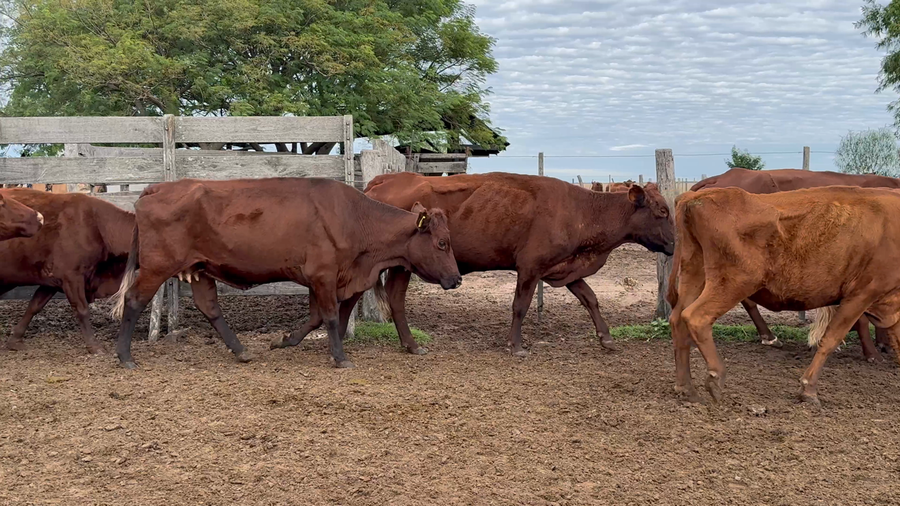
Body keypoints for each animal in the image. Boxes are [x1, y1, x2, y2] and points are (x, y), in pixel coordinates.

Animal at [0, 188, 133, 353]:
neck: (97, 226)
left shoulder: (51, 281)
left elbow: (34, 306)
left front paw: (15, 339)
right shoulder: (72, 277)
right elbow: (82, 310)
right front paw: (94, 345)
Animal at [111, 177, 461, 369]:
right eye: (442, 243)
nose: (457, 279)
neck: (354, 218)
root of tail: (157, 188)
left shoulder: (332, 280)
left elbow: (319, 318)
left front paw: (285, 340)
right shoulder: (323, 275)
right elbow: (330, 317)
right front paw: (339, 357)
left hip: (199, 270)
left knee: (210, 308)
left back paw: (241, 351)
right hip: (157, 267)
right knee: (133, 300)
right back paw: (125, 356)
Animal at [345, 171, 674, 358]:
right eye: (661, 210)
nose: (674, 243)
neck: (579, 209)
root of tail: (384, 180)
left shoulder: (563, 269)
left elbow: (590, 298)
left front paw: (606, 338)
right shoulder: (530, 268)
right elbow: (520, 306)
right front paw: (516, 347)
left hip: (402, 266)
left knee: (394, 299)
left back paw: (410, 344)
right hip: (401, 266)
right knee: (391, 297)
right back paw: (409, 343)